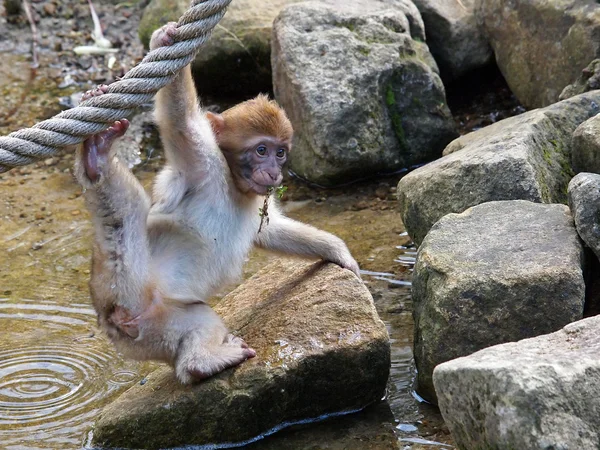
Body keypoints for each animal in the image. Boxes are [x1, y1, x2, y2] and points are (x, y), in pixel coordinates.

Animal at [72, 22, 358, 384]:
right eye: (261, 150)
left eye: (280, 152)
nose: (274, 171)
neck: (234, 185)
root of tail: (116, 321)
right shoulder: (204, 161)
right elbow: (181, 123)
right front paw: (164, 41)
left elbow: (272, 231)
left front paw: (336, 251)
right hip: (122, 282)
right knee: (128, 212)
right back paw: (95, 162)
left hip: (159, 327)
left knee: (196, 322)